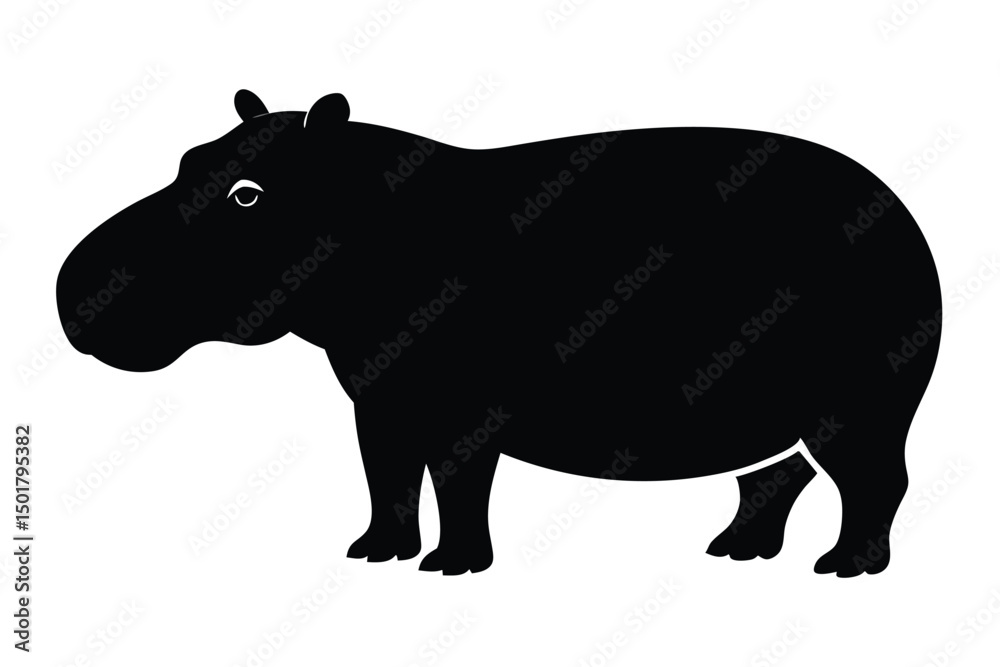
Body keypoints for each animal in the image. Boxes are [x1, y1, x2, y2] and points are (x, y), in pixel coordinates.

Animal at [57, 90, 941, 576]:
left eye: (247, 193)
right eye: (187, 155)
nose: (72, 284)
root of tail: (901, 209)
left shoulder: (465, 406)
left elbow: (457, 482)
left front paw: (451, 567)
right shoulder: (379, 398)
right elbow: (386, 477)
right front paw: (373, 553)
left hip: (858, 407)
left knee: (876, 484)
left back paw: (844, 568)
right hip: (769, 418)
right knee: (776, 477)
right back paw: (734, 550)